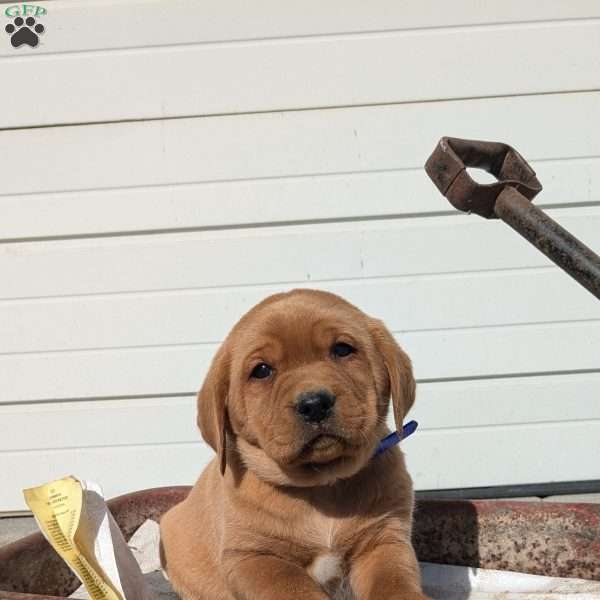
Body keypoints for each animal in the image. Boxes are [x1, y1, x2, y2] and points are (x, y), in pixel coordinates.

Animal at [162, 288, 428, 596]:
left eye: (342, 349)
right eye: (262, 370)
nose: (314, 404)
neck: (322, 486)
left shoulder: (384, 540)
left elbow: (394, 583)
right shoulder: (252, 557)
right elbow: (294, 588)